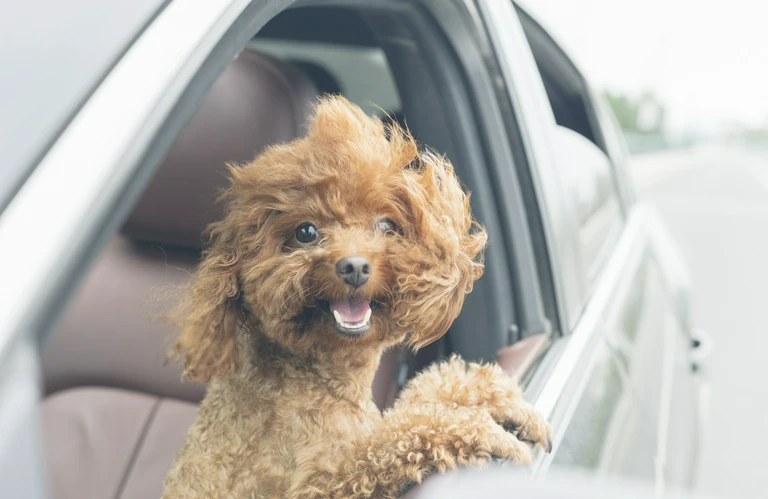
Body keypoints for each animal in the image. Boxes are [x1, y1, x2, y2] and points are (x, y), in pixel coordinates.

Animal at [162, 95, 548, 498]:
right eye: (306, 231)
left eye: (387, 225)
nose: (354, 266)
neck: (321, 381)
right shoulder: (314, 483)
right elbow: (390, 439)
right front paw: (485, 431)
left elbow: (419, 397)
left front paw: (499, 399)